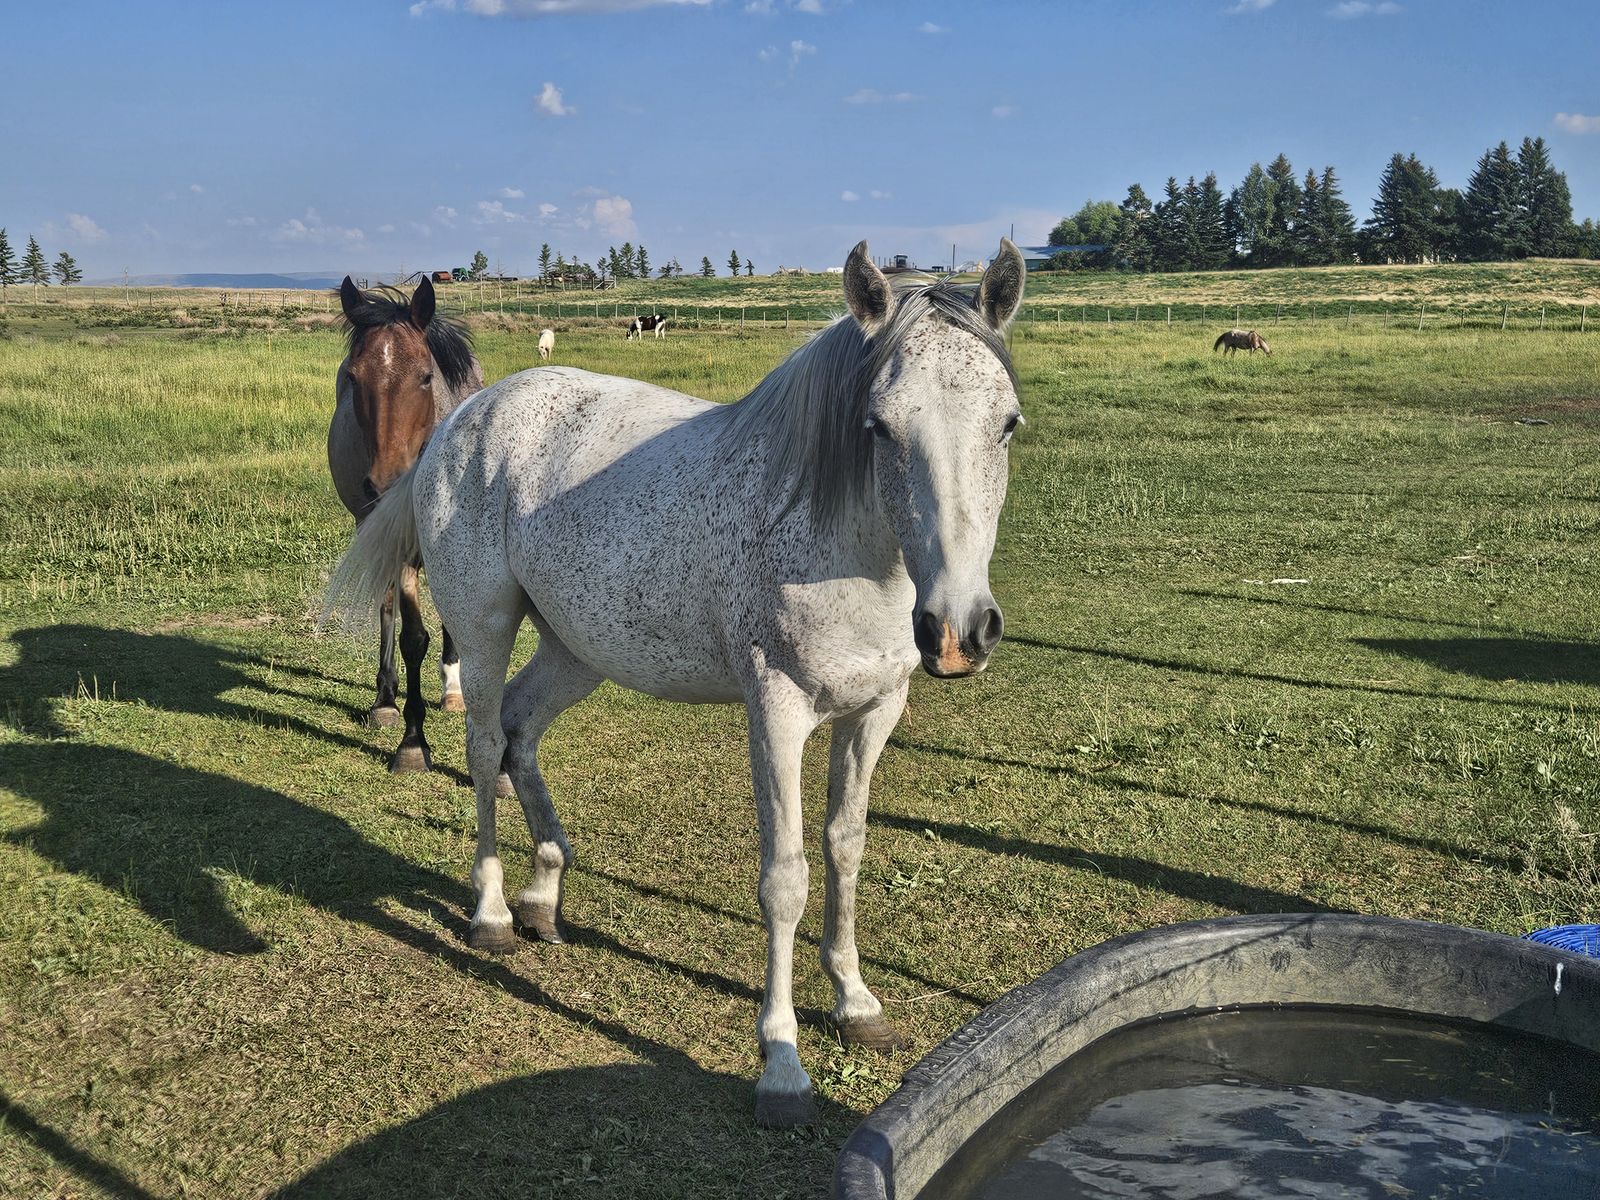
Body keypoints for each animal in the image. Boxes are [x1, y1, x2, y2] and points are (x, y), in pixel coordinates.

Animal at [327, 275, 484, 772]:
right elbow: (402, 624)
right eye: (353, 377)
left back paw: (452, 689)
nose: (386, 482)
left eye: (425, 377)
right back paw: (386, 697)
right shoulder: (385, 533)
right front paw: (402, 723)